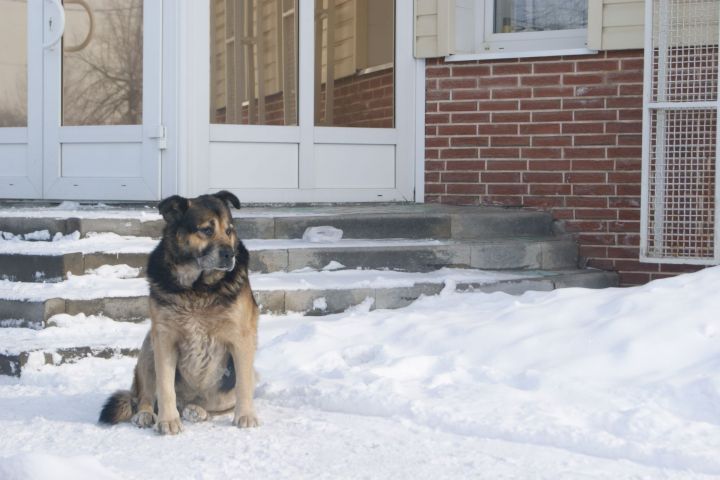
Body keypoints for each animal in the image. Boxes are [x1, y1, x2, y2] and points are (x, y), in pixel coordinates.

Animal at [98, 191, 260, 436]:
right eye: (207, 230)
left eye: (229, 231)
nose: (230, 255)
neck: (197, 288)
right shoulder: (164, 338)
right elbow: (165, 388)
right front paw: (168, 421)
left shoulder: (242, 338)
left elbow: (243, 385)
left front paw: (246, 415)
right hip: (149, 346)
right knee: (145, 396)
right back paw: (146, 414)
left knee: (217, 404)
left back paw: (198, 411)